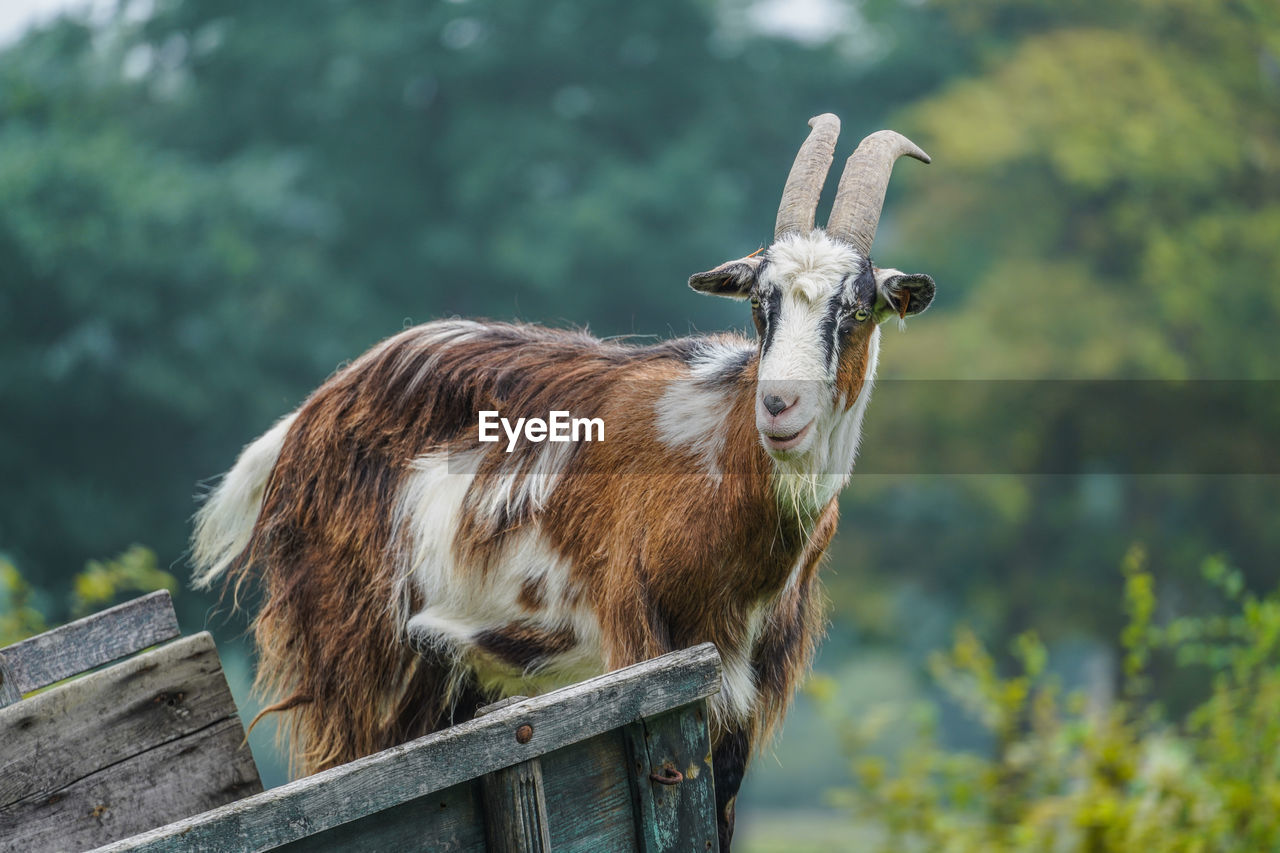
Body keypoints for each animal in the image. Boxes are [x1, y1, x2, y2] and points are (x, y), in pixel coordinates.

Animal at [194, 111, 942, 845]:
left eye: (858, 306)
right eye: (761, 303)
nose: (780, 406)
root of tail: (305, 420)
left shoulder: (746, 693)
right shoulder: (645, 648)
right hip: (358, 655)